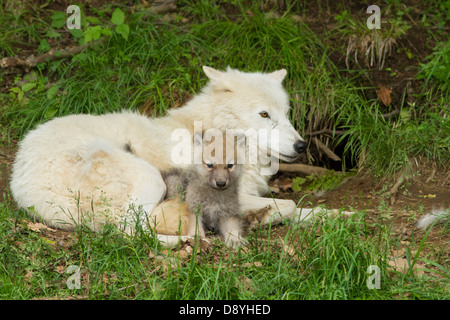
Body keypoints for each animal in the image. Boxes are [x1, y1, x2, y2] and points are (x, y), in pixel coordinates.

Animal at [9, 66, 342, 246]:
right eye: (264, 114)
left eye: (286, 114)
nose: (301, 146)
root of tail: (22, 183)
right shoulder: (222, 195)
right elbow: (289, 205)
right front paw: (261, 218)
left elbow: (307, 210)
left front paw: (344, 218)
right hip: (149, 178)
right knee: (127, 231)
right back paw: (185, 241)